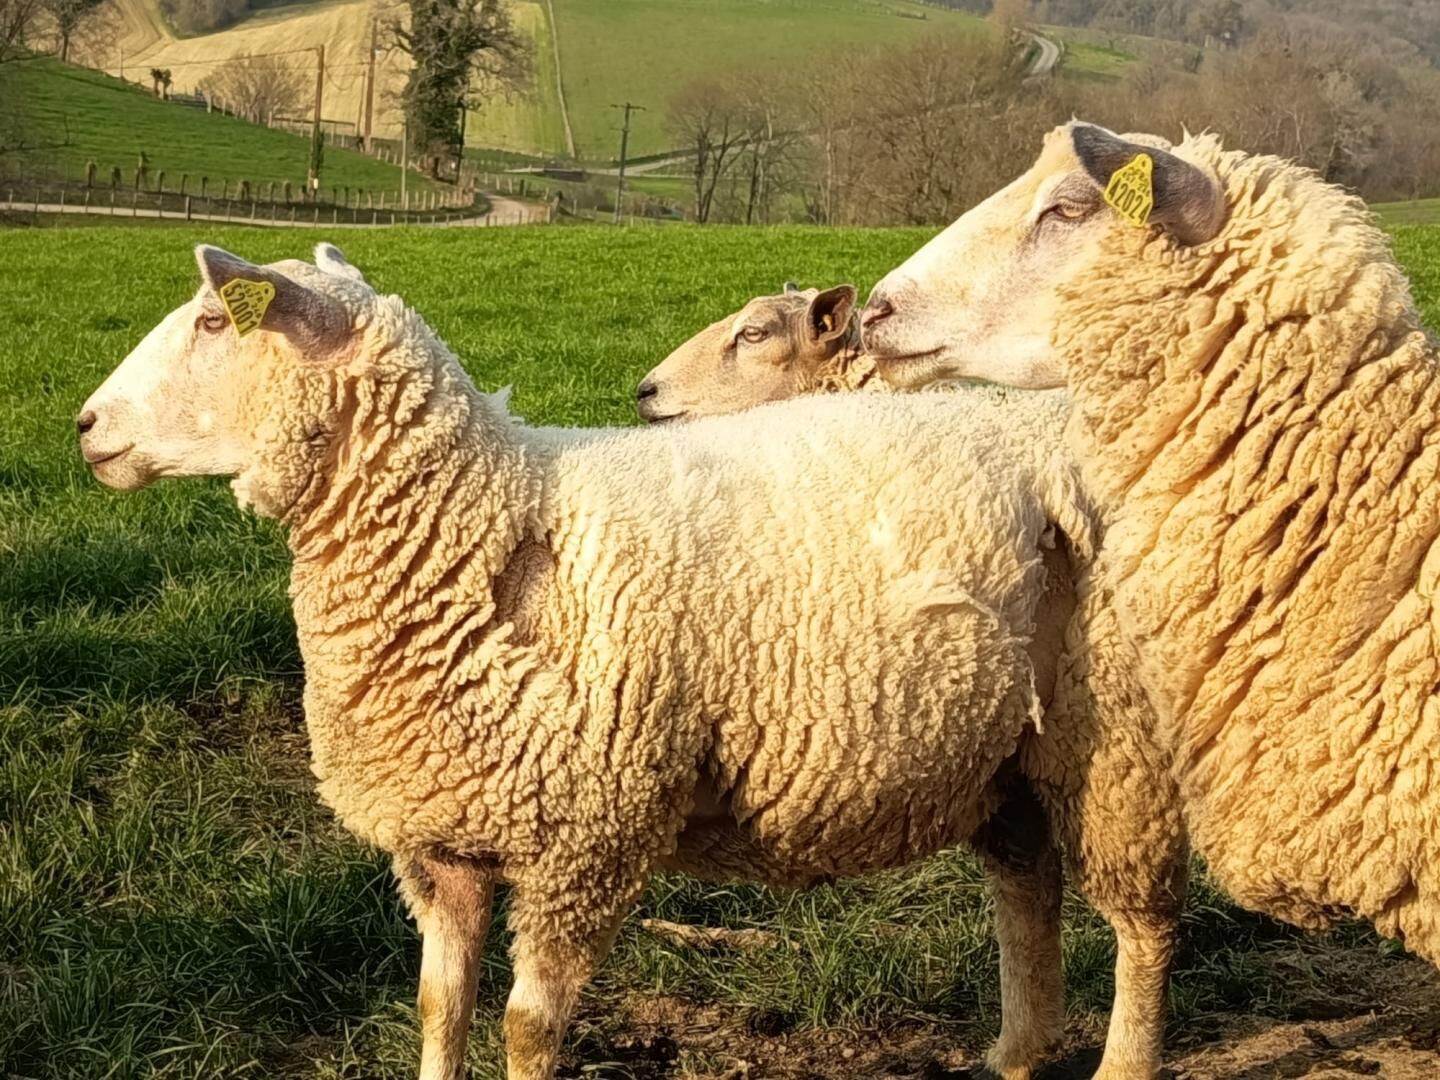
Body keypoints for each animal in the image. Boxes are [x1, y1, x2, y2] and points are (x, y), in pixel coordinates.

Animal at [77, 242, 1184, 1080]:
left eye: (214, 323)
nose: (84, 426)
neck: (484, 532)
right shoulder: (440, 842)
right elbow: (440, 1005)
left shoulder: (585, 840)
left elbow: (526, 1029)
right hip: (1007, 752)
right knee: (1028, 894)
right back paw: (1017, 1052)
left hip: (1117, 739)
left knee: (1142, 925)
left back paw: (1119, 1060)